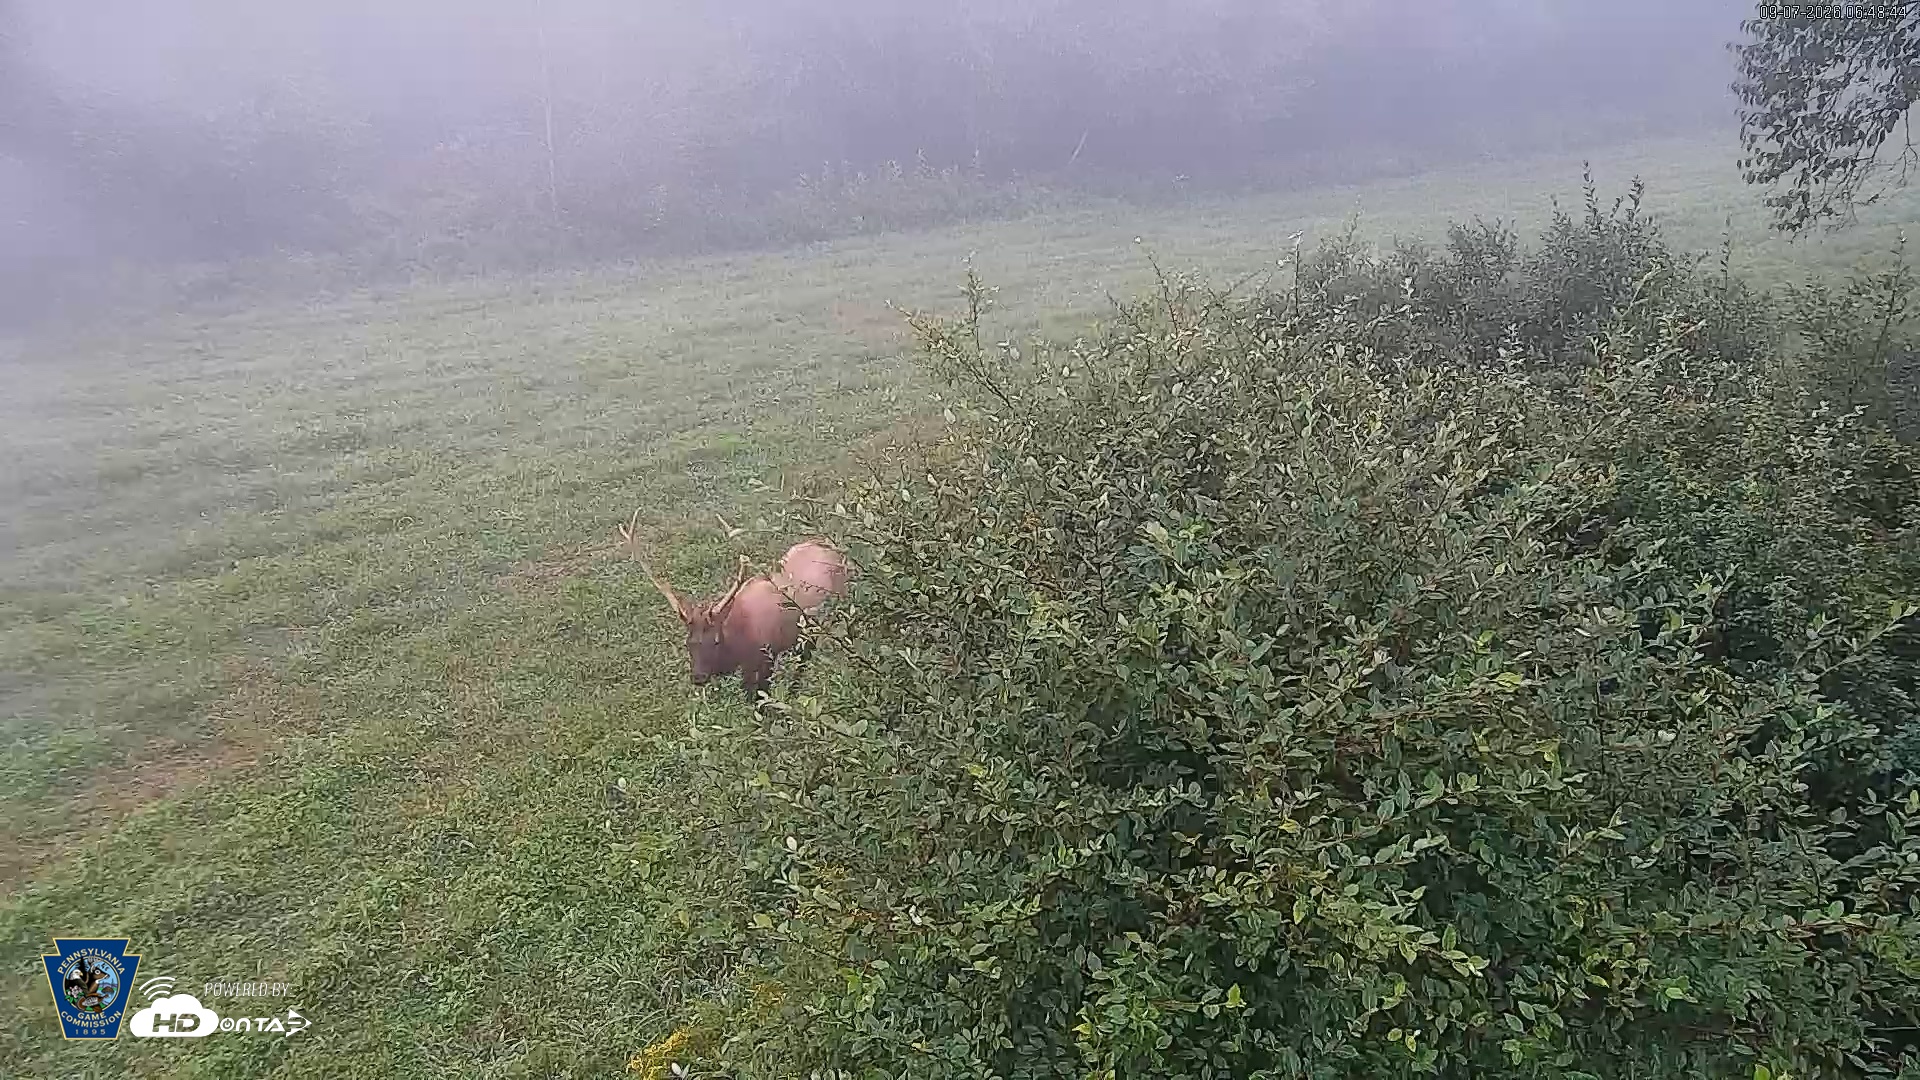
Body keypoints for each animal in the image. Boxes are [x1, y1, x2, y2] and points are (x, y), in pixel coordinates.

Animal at [619, 508, 851, 696]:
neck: (739, 640)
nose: (698, 677)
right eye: (688, 643)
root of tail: (833, 546)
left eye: (715, 641)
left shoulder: (766, 658)